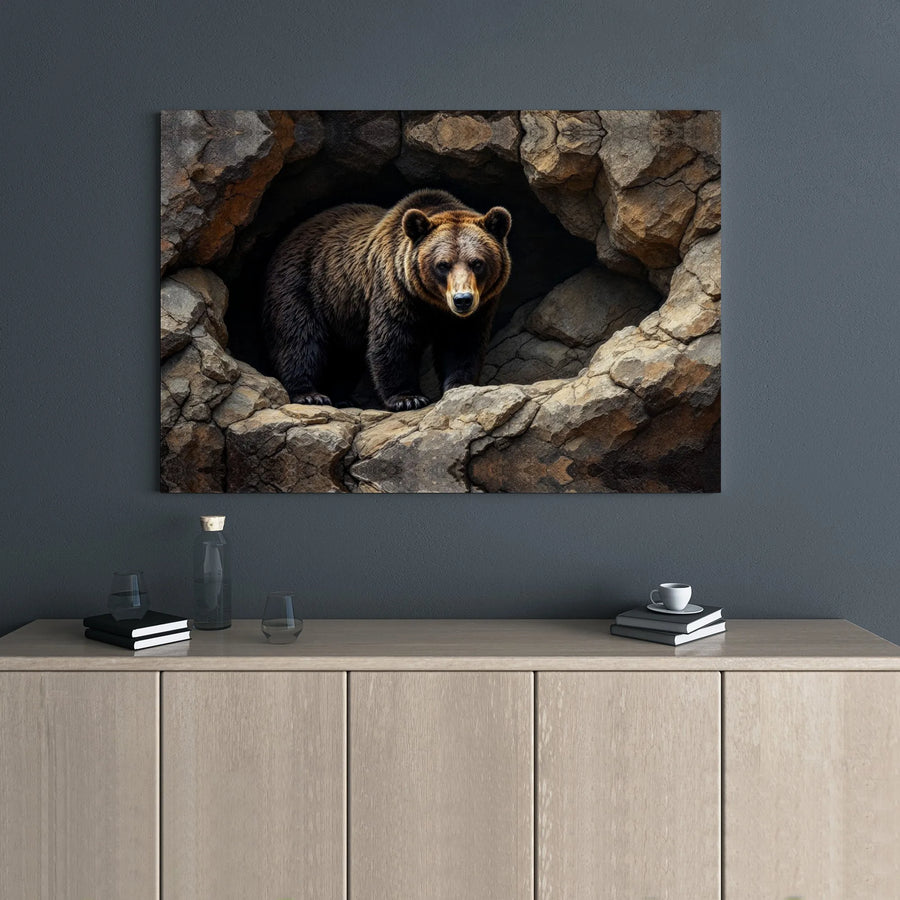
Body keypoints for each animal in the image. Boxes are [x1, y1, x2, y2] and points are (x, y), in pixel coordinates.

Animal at [262, 189, 512, 412]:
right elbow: (393, 341)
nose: (462, 299)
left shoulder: (478, 308)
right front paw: (408, 398)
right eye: (443, 264)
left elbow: (462, 343)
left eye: (477, 262)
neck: (433, 304)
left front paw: (460, 385)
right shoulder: (396, 290)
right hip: (303, 286)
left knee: (345, 358)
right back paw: (310, 394)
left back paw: (342, 398)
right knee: (300, 339)